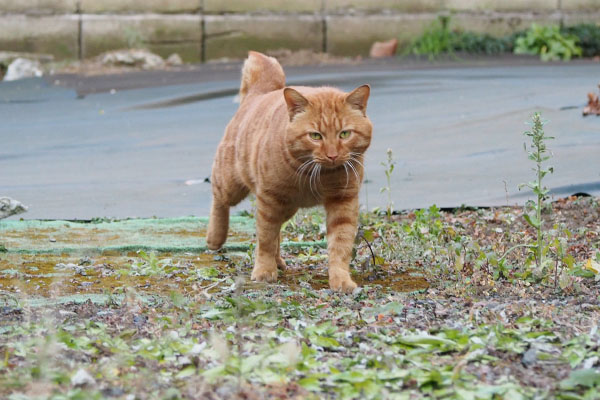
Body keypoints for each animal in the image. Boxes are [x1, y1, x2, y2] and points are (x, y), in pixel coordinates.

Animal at [209, 51, 372, 292]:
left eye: (344, 134)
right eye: (315, 136)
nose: (332, 155)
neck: (319, 176)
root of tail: (260, 92)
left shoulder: (344, 201)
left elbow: (340, 245)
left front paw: (340, 279)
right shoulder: (269, 200)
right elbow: (265, 239)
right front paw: (264, 271)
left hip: (287, 207)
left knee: (277, 232)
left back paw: (278, 261)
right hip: (232, 184)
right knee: (219, 200)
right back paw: (215, 238)